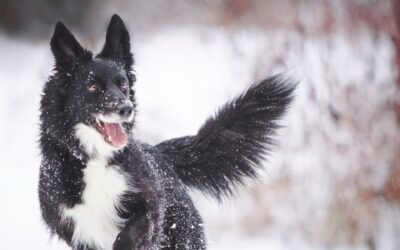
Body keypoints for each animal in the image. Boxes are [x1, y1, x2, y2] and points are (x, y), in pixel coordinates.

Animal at [39, 14, 296, 250]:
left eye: (123, 85)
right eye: (93, 87)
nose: (126, 108)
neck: (96, 159)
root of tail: (159, 153)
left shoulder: (150, 208)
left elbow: (130, 233)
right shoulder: (74, 227)